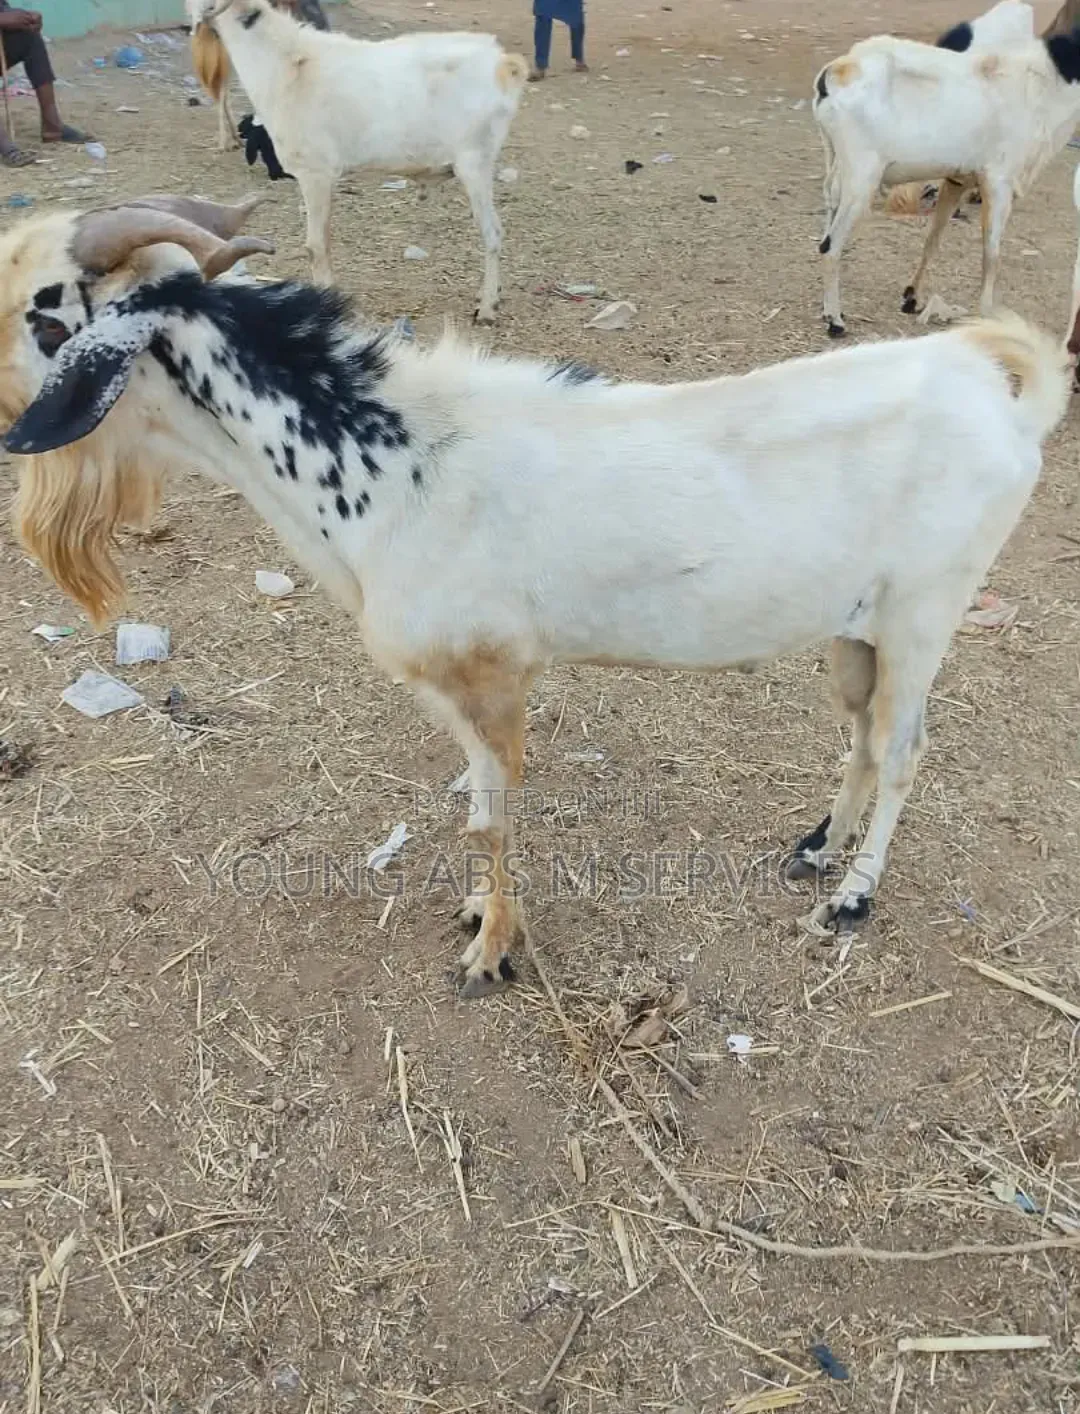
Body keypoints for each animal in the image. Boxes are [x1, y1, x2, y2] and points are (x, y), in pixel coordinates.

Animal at [0, 201, 1069, 995]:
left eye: (46, 315)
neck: (388, 465)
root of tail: (1006, 394)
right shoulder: (456, 689)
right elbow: (478, 809)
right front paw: (482, 916)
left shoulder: (493, 675)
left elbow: (493, 817)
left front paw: (490, 954)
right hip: (857, 628)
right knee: (862, 736)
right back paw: (815, 849)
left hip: (927, 610)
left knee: (905, 749)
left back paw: (850, 898)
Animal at [813, 26, 1080, 336]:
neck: (1039, 84)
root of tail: (837, 71)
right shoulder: (998, 184)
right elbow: (991, 254)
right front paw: (986, 315)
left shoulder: (956, 182)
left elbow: (933, 240)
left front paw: (911, 298)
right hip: (861, 179)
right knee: (830, 245)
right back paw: (835, 321)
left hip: (836, 167)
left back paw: (828, 311)